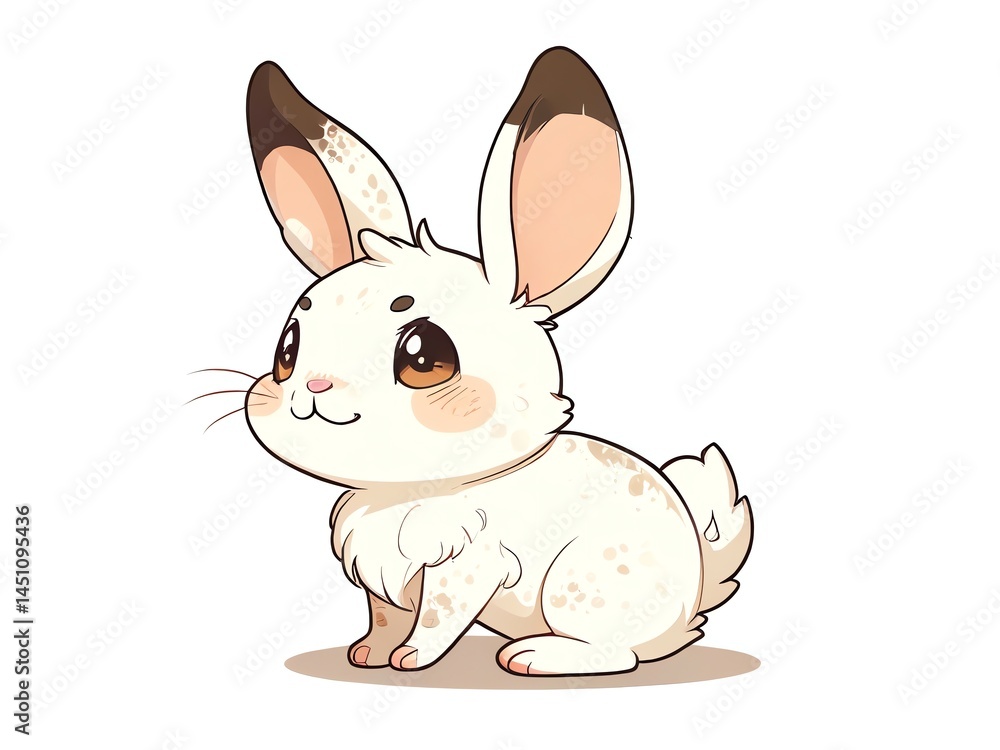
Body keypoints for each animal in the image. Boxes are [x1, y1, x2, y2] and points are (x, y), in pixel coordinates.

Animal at [240, 47, 753, 676]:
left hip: (579, 589)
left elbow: (438, 618)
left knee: (615, 655)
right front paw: (367, 655)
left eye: (424, 357)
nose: (312, 389)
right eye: (287, 349)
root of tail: (692, 597)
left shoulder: (467, 565)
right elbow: (383, 617)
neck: (411, 492)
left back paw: (534, 657)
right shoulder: (381, 575)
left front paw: (409, 661)